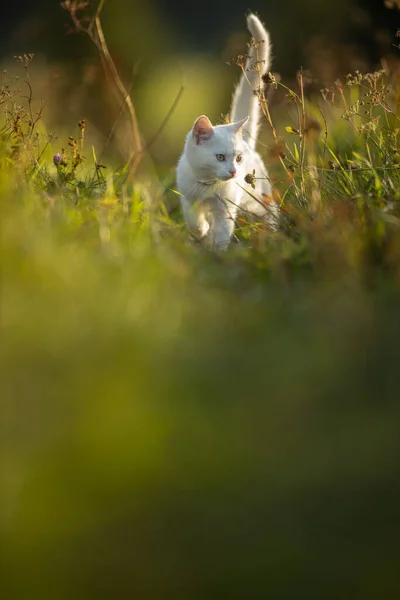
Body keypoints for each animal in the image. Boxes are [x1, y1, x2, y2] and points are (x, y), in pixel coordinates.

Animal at [177, 12, 276, 250]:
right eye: (220, 157)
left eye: (237, 159)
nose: (233, 172)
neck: (208, 186)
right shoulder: (187, 198)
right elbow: (194, 222)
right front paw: (201, 232)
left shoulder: (226, 210)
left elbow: (222, 233)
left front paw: (218, 250)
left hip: (259, 198)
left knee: (270, 214)